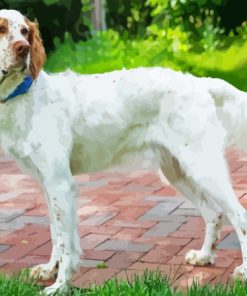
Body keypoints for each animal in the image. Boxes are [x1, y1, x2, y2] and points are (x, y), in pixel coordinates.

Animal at [0, 8, 247, 294]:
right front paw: (50, 269)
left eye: (24, 31)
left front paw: (60, 284)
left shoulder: (60, 183)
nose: (24, 48)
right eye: (2, 28)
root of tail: (199, 83)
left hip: (203, 166)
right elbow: (55, 233)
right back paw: (204, 256)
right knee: (213, 212)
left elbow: (66, 242)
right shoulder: (47, 183)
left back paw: (243, 270)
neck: (25, 96)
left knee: (239, 215)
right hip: (177, 171)